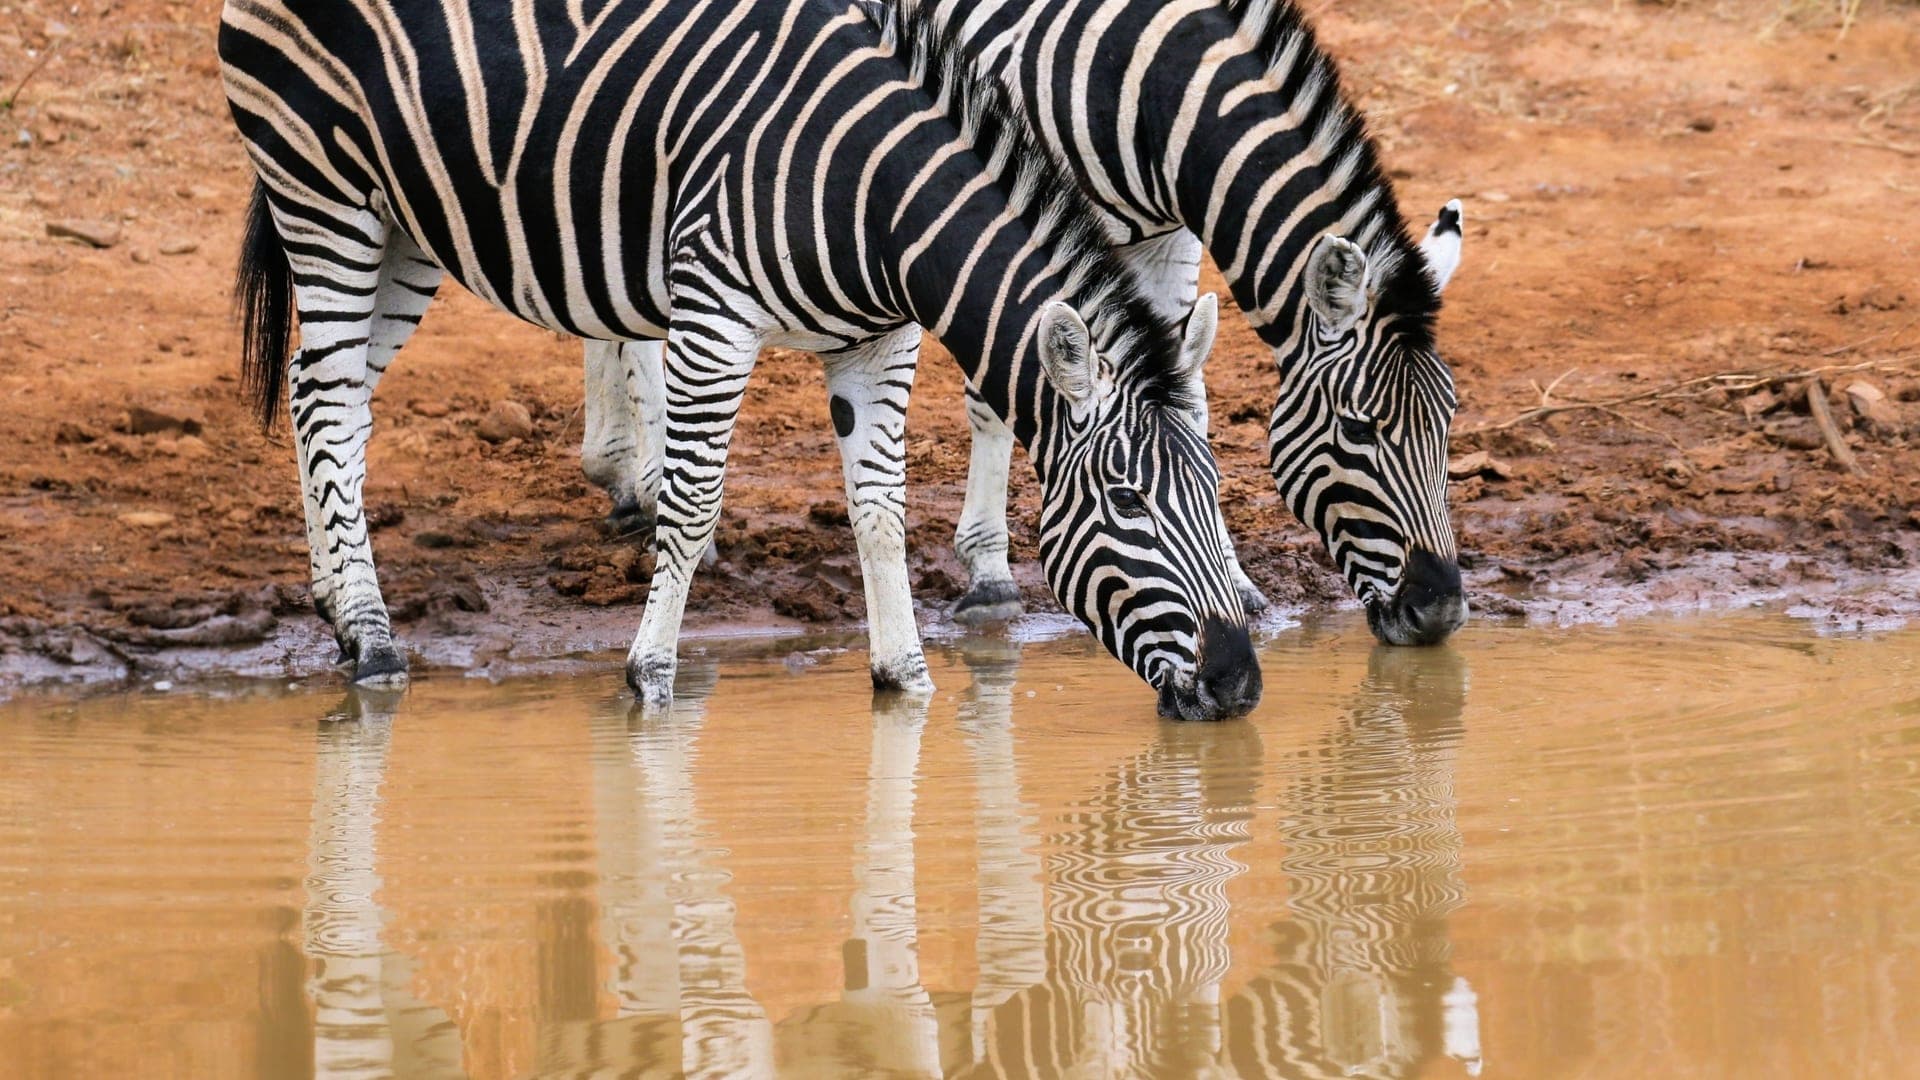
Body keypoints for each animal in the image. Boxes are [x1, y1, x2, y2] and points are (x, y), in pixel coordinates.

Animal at [219, 0, 1261, 718]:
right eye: (1127, 504)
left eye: (1216, 492)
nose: (1242, 683)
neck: (875, 196)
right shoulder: (713, 315)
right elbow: (690, 505)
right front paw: (650, 676)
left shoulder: (876, 342)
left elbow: (880, 514)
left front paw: (905, 677)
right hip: (323, 193)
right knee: (325, 401)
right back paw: (374, 640)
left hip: (404, 223)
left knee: (324, 397)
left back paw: (340, 609)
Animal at [579, 0, 1470, 645]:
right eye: (1358, 430)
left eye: (1449, 424)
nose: (1438, 614)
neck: (1135, 80)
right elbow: (996, 399)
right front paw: (990, 572)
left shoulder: (1165, 233)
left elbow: (1187, 391)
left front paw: (1237, 578)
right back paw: (646, 478)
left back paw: (618, 471)